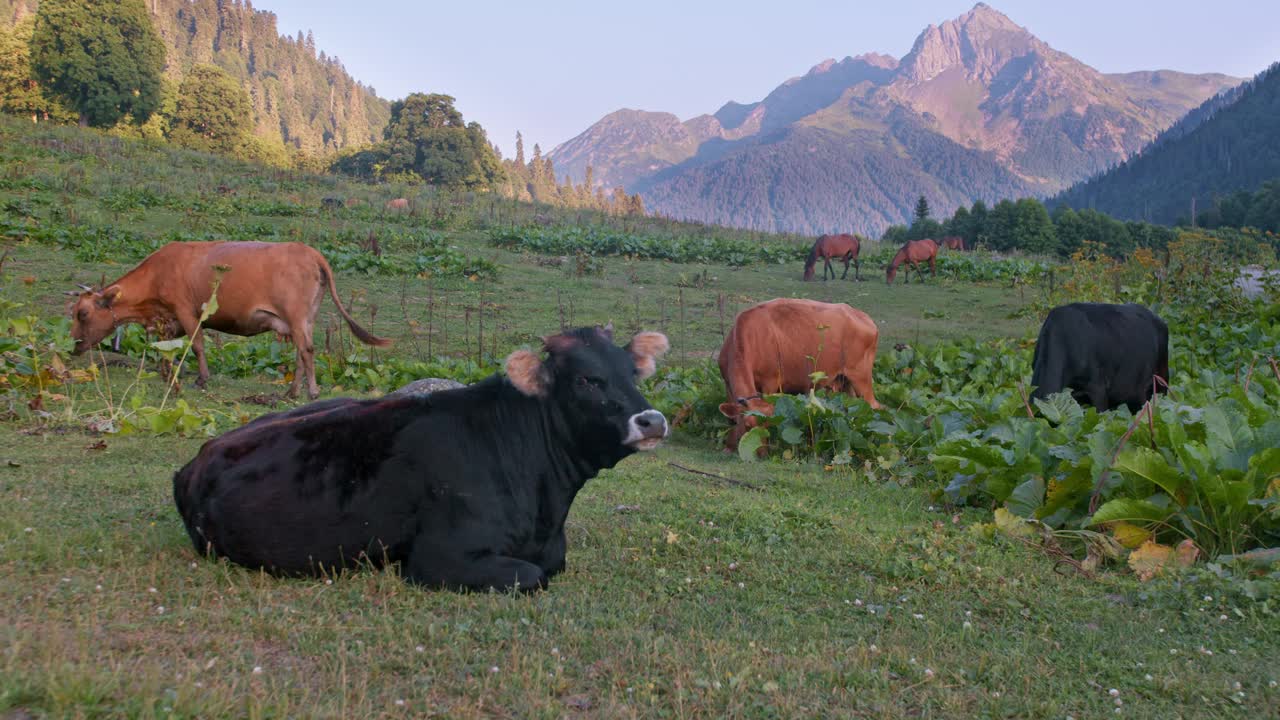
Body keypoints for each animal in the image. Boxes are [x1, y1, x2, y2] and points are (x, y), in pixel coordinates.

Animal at [68, 240, 389, 397]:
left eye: (83, 313)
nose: (74, 345)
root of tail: (311, 253)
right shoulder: (169, 319)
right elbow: (165, 346)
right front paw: (166, 372)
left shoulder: (187, 312)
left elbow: (197, 345)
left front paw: (201, 378)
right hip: (305, 318)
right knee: (302, 351)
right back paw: (291, 390)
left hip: (297, 316)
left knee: (307, 351)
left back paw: (309, 391)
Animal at [175, 324, 675, 589]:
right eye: (586, 380)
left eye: (632, 373)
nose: (652, 420)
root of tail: (199, 458)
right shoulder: (439, 558)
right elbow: (533, 575)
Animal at [721, 295, 880, 448]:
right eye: (748, 426)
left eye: (768, 426)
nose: (762, 453)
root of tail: (863, 316)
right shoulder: (727, 384)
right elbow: (731, 418)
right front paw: (729, 445)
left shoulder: (771, 384)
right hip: (846, 382)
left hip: (862, 377)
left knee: (875, 407)